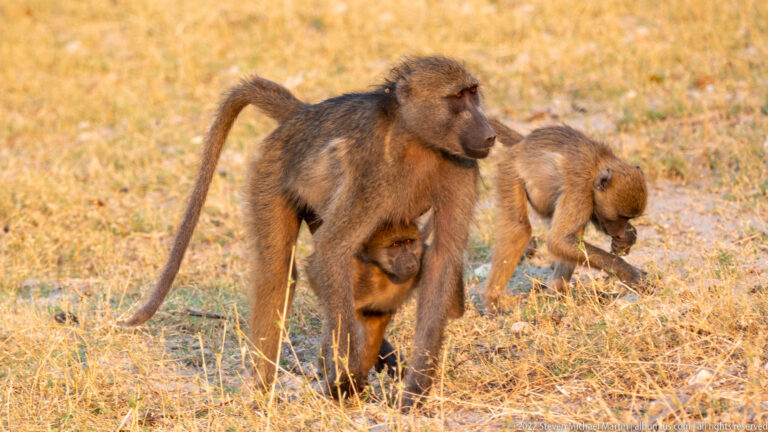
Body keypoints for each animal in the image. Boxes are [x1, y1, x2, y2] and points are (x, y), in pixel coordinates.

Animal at [120, 56, 495, 410]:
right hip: (271, 170)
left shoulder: (462, 164)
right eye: (457, 97)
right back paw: (263, 393)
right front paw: (348, 381)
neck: (416, 138)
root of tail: (303, 116)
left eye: (473, 92)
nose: (490, 133)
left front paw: (413, 393)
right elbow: (331, 250)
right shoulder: (372, 169)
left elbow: (442, 260)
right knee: (277, 271)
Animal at [484, 119, 647, 312]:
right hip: (510, 170)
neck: (597, 166)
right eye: (620, 217)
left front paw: (627, 238)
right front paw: (630, 273)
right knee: (519, 228)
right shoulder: (580, 189)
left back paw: (556, 295)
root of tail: (522, 143)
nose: (620, 233)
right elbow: (559, 241)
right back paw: (493, 301)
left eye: (628, 218)